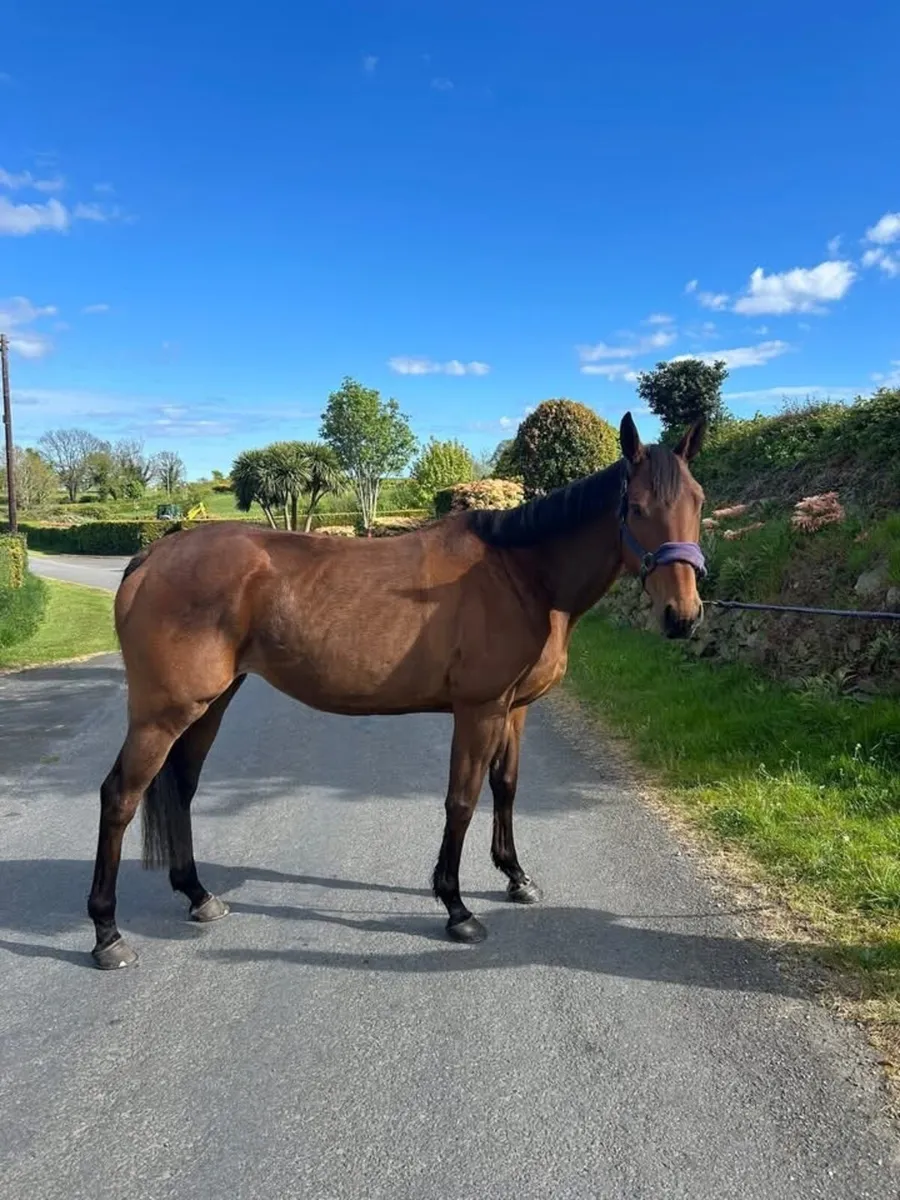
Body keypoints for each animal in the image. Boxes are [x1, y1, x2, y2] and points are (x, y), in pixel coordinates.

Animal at [87, 411, 707, 969]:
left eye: (698, 501)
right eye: (636, 507)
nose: (682, 616)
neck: (520, 575)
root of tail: (153, 556)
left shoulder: (514, 710)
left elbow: (505, 788)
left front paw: (515, 877)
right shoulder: (478, 710)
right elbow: (462, 800)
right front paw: (456, 908)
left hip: (211, 705)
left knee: (182, 788)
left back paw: (198, 896)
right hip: (164, 713)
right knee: (119, 797)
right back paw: (107, 935)